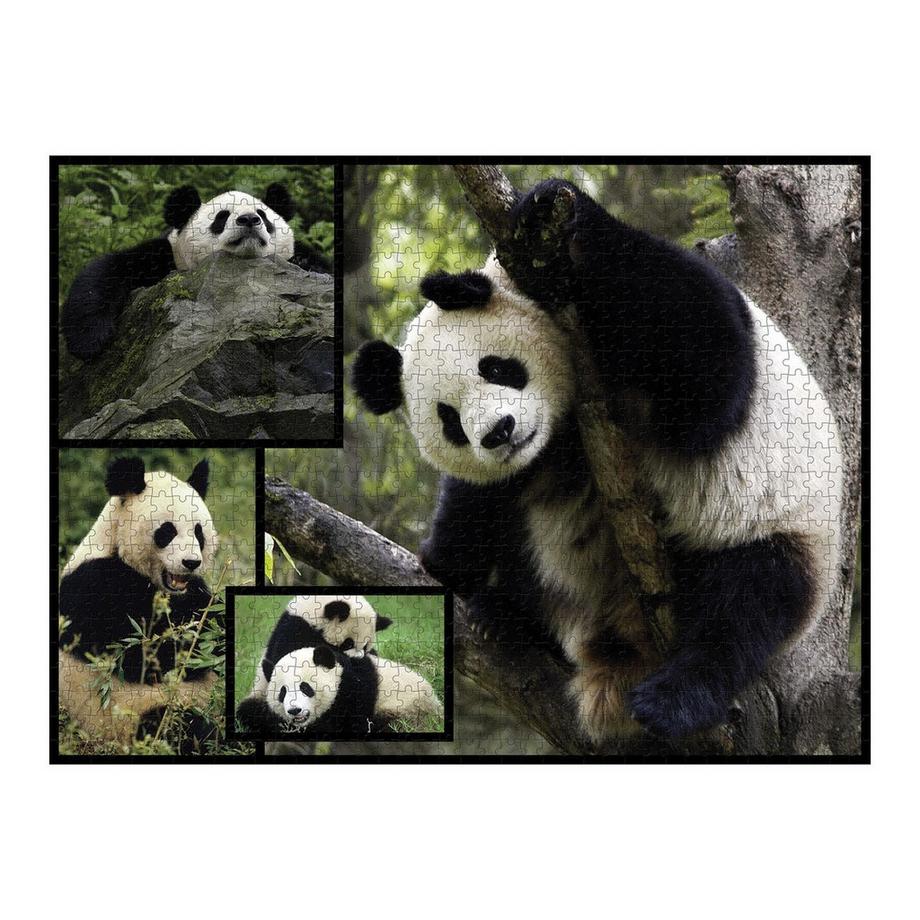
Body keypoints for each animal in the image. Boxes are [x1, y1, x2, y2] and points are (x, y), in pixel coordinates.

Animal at [58, 456, 220, 751]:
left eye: (198, 532)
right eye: (167, 531)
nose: (191, 562)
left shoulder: (194, 590)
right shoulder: (92, 587)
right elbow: (141, 654)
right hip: (127, 718)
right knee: (175, 724)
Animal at [61, 183, 331, 360]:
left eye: (263, 216)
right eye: (221, 217)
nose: (248, 219)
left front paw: (308, 265)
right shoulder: (165, 258)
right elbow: (106, 271)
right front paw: (90, 340)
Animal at [352, 177, 843, 744]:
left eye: (496, 368)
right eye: (449, 420)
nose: (499, 433)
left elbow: (705, 368)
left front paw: (553, 207)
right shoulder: (532, 457)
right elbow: (479, 500)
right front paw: (446, 562)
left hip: (778, 530)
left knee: (747, 605)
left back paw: (674, 698)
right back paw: (508, 618)